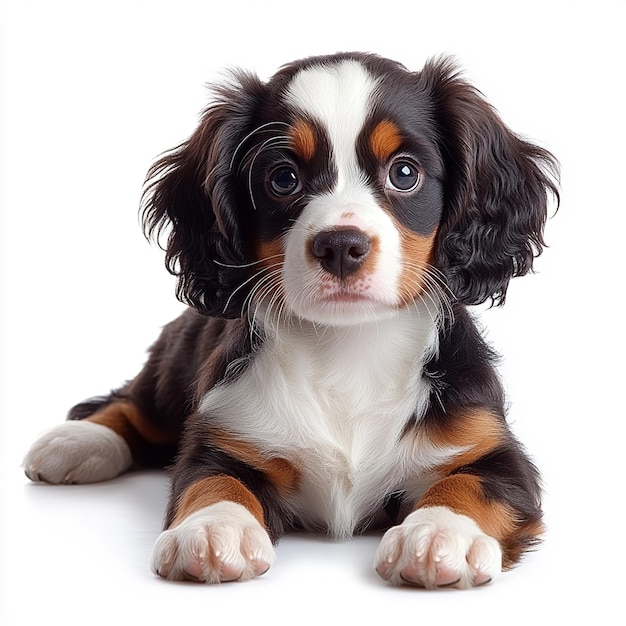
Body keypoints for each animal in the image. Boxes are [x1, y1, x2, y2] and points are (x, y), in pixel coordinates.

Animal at [26, 52, 560, 584]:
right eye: (283, 179)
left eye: (404, 173)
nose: (341, 245)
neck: (348, 350)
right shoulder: (224, 432)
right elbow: (213, 481)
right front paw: (212, 529)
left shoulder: (491, 447)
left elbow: (470, 486)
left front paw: (440, 534)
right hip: (176, 361)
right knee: (136, 403)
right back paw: (79, 440)